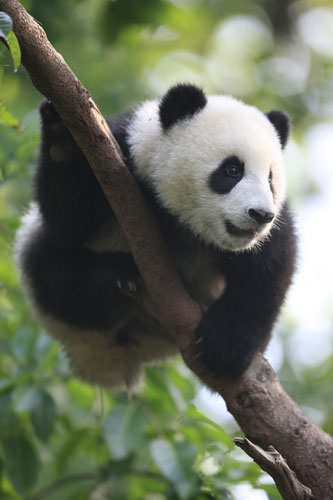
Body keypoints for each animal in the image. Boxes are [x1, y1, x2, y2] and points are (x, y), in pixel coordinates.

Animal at [15, 85, 296, 390]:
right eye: (232, 170)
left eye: (270, 179)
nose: (260, 215)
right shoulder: (117, 158)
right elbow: (67, 222)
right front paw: (61, 135)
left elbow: (268, 268)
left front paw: (224, 349)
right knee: (55, 277)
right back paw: (116, 273)